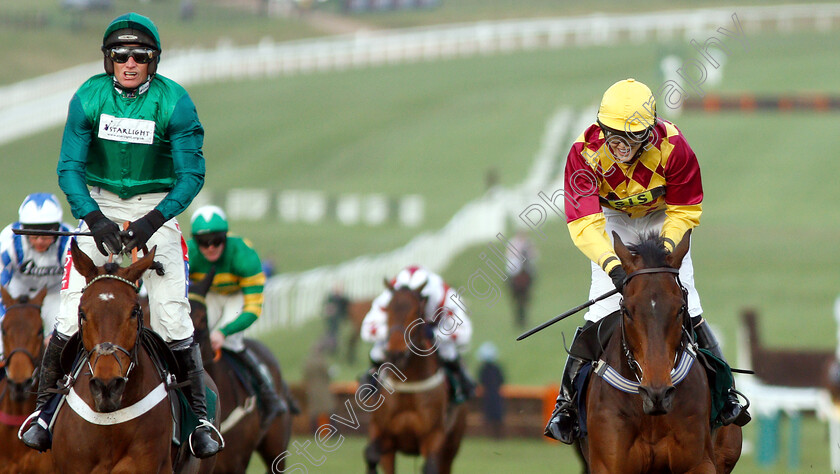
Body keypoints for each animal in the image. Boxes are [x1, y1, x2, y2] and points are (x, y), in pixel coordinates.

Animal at [362, 282, 466, 474]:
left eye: (416, 312)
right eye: (388, 310)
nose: (396, 354)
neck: (409, 384)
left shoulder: (434, 435)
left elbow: (430, 466)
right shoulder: (382, 432)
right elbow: (371, 455)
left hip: (452, 445)